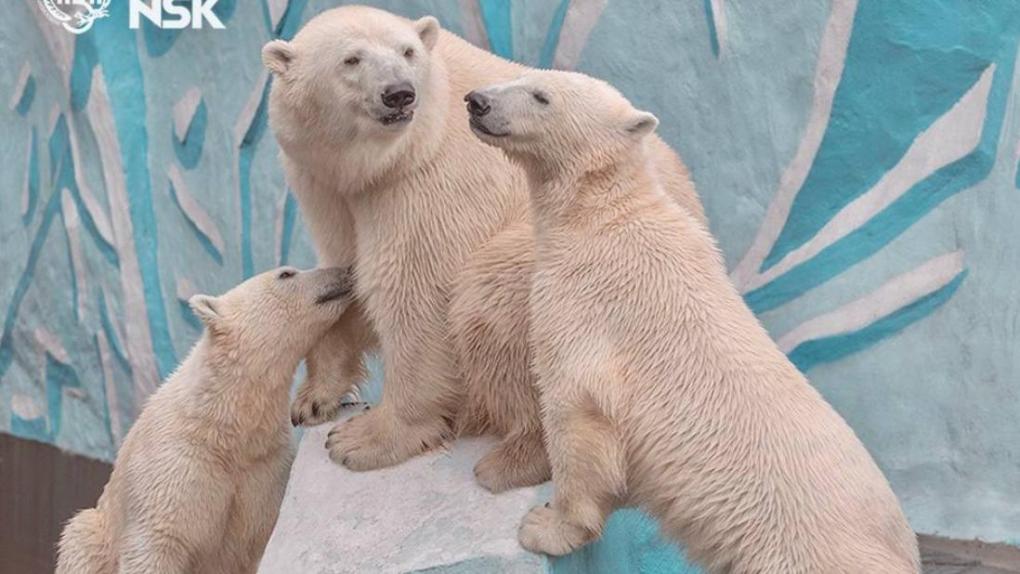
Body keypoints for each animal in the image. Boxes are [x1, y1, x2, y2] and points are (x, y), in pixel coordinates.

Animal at [57, 269, 359, 574]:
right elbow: (156, 542)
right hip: (93, 537)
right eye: (286, 273)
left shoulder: (265, 469)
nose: (344, 270)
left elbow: (259, 536)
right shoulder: (175, 466)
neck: (222, 423)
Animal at [263, 3, 709, 489]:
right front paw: (313, 399)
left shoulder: (429, 183)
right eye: (351, 59)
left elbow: (412, 293)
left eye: (407, 51)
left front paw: (362, 440)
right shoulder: (327, 186)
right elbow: (345, 267)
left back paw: (517, 456)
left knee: (493, 296)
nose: (399, 94)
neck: (388, 159)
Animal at [469, 69, 926, 570]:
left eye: (540, 95)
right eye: (517, 76)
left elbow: (576, 408)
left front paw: (544, 524)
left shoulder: (588, 304)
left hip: (793, 553)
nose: (476, 101)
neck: (600, 215)